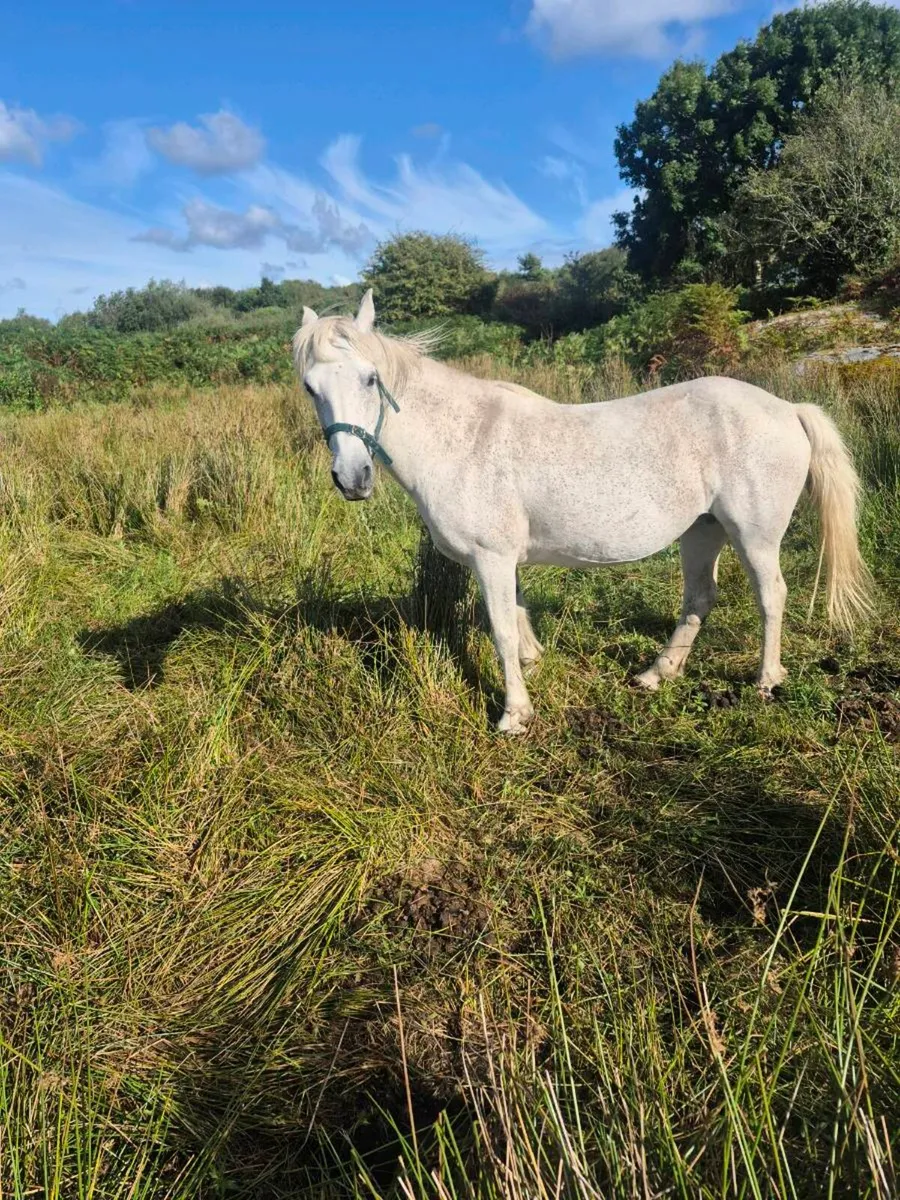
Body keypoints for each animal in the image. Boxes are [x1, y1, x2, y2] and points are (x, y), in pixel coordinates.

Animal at [292, 290, 872, 733]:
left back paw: (766, 681)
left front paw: (514, 714)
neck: (462, 438)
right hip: (701, 530)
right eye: (309, 387)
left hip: (754, 535)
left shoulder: (491, 558)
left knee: (771, 596)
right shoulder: (506, 560)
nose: (352, 478)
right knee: (700, 598)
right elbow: (518, 616)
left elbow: (500, 628)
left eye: (371, 379)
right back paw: (656, 674)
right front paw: (533, 667)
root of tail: (787, 408)